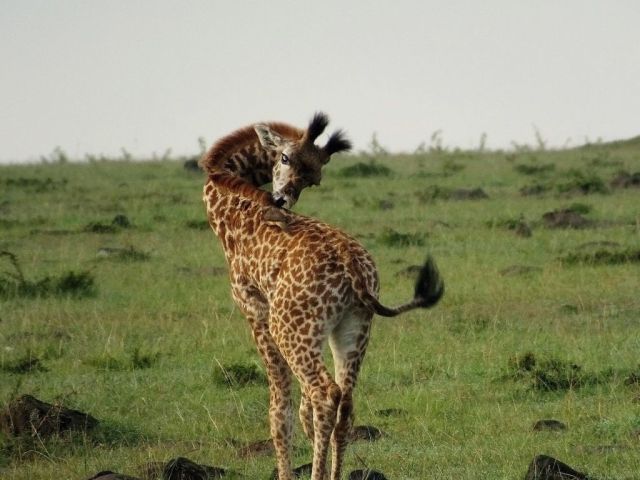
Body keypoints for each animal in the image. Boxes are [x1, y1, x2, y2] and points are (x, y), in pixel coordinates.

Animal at [202, 170, 444, 479]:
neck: (230, 211)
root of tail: (349, 261)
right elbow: (300, 407)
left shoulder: (256, 312)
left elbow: (280, 408)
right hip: (352, 328)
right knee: (346, 401)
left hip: (289, 328)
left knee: (326, 394)